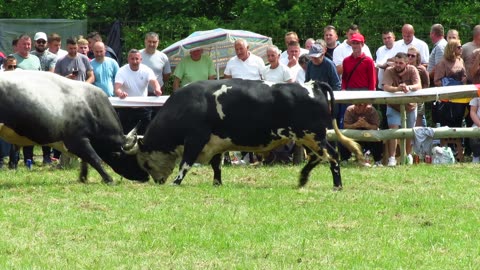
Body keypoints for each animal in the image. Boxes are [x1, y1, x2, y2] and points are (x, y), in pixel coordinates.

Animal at [0, 70, 148, 184]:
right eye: (133, 158)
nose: (146, 177)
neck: (90, 106)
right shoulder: (76, 140)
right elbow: (94, 158)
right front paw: (108, 179)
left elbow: (86, 160)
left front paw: (83, 178)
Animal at [127, 79, 360, 189]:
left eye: (145, 162)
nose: (157, 181)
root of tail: (312, 84)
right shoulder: (217, 143)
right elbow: (217, 165)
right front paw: (217, 183)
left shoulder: (195, 139)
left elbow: (185, 163)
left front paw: (176, 182)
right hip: (308, 138)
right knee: (317, 158)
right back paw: (302, 178)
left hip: (315, 136)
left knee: (332, 155)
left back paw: (337, 185)